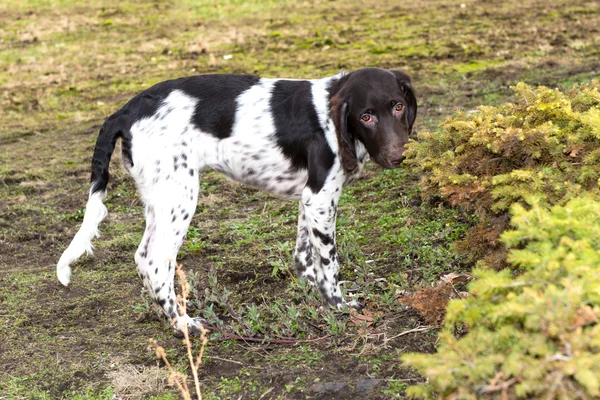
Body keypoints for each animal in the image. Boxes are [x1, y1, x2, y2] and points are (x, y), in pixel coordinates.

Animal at [56, 68, 414, 334]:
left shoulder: (310, 199)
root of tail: (126, 110)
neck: (330, 112)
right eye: (366, 116)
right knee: (157, 262)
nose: (401, 156)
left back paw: (166, 316)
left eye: (398, 106)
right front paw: (338, 307)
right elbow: (329, 265)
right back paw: (183, 324)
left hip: (161, 199)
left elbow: (304, 257)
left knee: (143, 257)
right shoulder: (321, 197)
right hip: (181, 197)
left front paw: (311, 292)